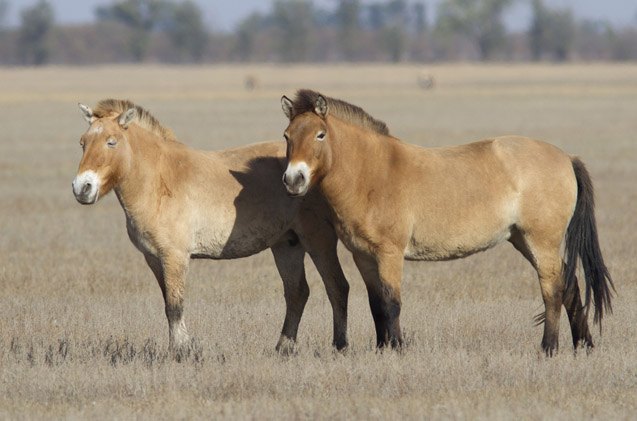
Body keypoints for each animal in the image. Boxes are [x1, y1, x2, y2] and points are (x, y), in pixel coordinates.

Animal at [72, 99, 350, 358]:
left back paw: (340, 346)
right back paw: (283, 348)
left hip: (318, 241)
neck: (159, 180)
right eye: (83, 142)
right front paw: (184, 348)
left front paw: (180, 352)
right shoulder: (153, 258)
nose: (82, 188)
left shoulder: (175, 257)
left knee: (337, 286)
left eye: (111, 142)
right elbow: (168, 305)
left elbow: (175, 306)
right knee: (297, 292)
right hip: (286, 245)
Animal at [280, 89, 612, 354]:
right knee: (569, 283)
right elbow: (376, 304)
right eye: (287, 136)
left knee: (552, 289)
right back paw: (583, 345)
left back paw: (549, 348)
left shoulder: (390, 253)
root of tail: (566, 158)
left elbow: (391, 303)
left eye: (320, 134)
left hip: (541, 241)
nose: (294, 180)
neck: (372, 173)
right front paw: (381, 348)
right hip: (523, 240)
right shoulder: (363, 256)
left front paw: (397, 349)